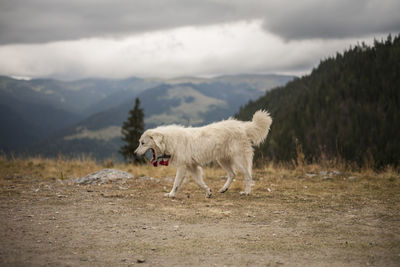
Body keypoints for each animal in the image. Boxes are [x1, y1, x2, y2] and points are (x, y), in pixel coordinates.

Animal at [134, 110, 272, 198]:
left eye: (142, 143)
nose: (134, 153)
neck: (169, 140)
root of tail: (242, 127)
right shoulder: (192, 167)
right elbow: (199, 182)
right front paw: (208, 192)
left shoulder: (183, 167)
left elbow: (176, 183)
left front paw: (171, 194)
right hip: (222, 160)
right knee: (232, 174)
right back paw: (224, 189)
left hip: (238, 159)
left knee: (248, 176)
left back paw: (246, 192)